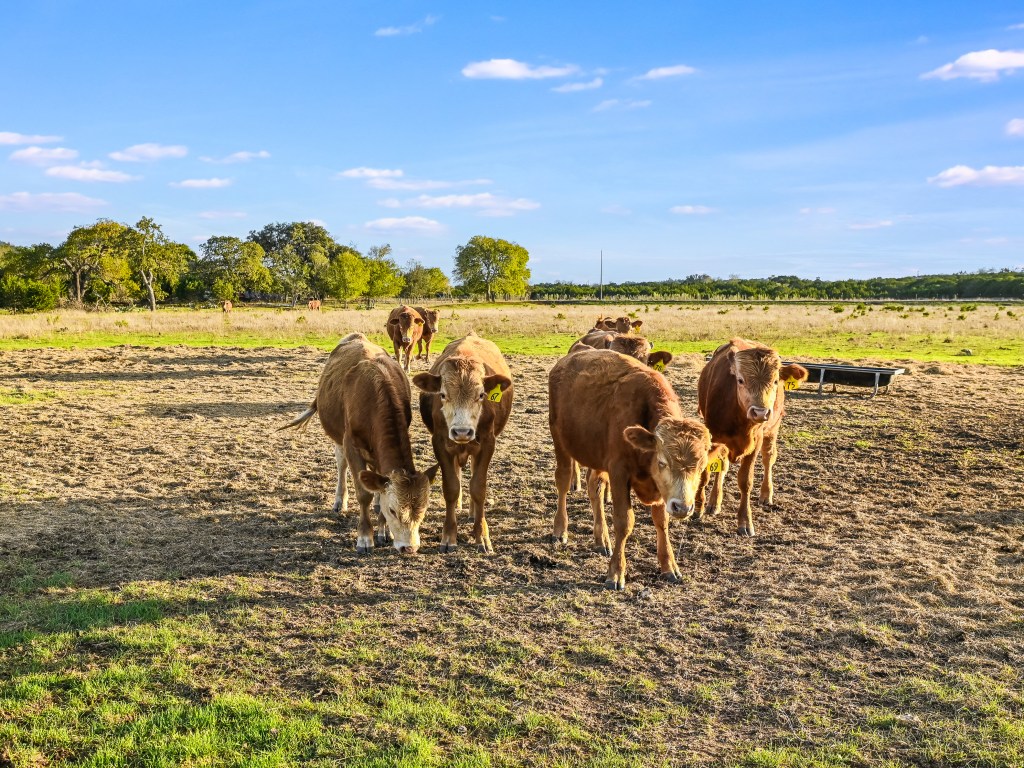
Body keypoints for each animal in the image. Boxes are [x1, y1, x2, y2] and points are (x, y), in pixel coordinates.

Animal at [280, 333, 440, 557]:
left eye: (423, 509)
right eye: (393, 510)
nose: (409, 547)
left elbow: (379, 485)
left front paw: (383, 530)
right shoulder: (351, 445)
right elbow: (363, 493)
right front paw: (365, 538)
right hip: (338, 437)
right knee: (341, 465)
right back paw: (340, 501)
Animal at [411, 331, 512, 552]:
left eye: (481, 395)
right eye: (442, 395)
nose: (462, 431)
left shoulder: (487, 444)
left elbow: (478, 487)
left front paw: (482, 534)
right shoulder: (440, 443)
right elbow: (451, 487)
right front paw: (449, 536)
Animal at [548, 346, 733, 593]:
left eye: (702, 466)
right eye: (662, 462)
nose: (683, 507)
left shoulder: (659, 489)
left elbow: (661, 521)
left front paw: (669, 566)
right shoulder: (619, 473)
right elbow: (623, 521)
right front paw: (616, 573)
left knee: (594, 487)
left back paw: (601, 539)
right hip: (560, 441)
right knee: (563, 480)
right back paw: (560, 530)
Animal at [696, 339, 806, 536]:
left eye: (775, 381)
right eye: (740, 380)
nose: (760, 412)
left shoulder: (755, 443)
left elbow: (745, 481)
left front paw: (745, 522)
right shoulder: (714, 436)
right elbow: (707, 472)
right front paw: (700, 507)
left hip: (772, 431)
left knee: (769, 458)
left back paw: (766, 494)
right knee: (722, 467)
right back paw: (714, 502)